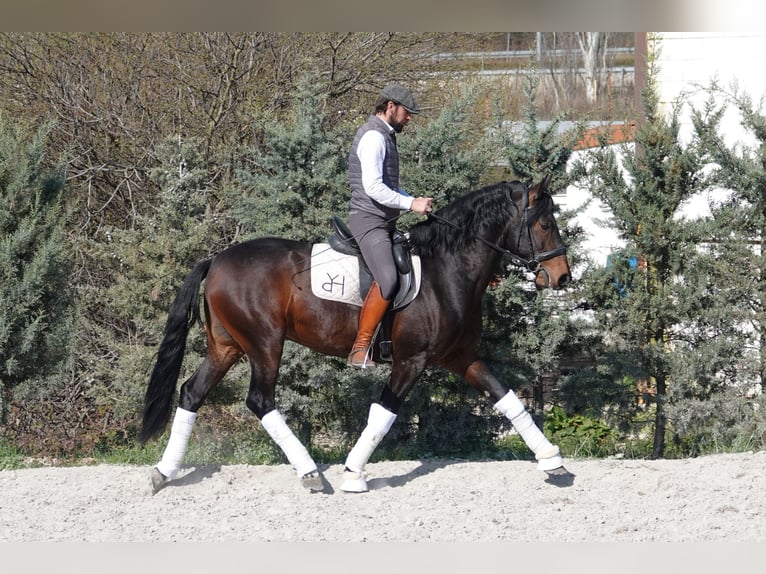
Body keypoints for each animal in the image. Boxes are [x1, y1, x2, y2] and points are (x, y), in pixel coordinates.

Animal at [140, 176, 573, 494]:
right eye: (545, 224)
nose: (562, 277)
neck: (447, 270)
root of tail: (216, 260)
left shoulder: (462, 357)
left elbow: (508, 399)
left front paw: (553, 461)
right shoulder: (411, 360)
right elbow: (383, 413)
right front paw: (353, 473)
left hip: (227, 346)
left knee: (192, 392)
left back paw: (163, 471)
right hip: (264, 344)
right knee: (260, 400)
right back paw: (311, 473)